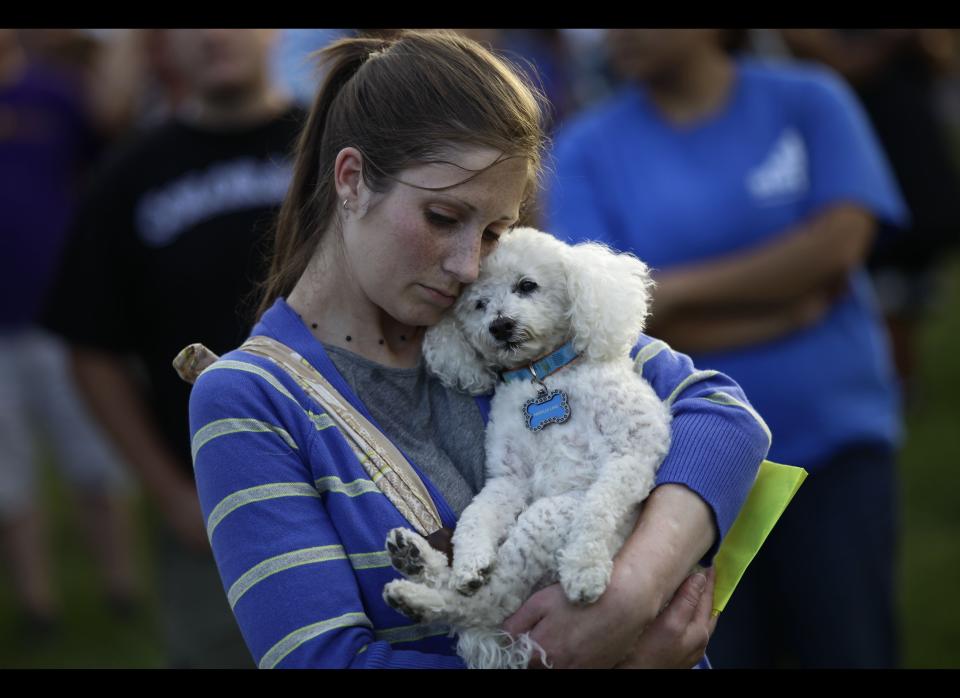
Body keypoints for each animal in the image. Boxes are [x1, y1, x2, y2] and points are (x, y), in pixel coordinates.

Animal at [378, 226, 672, 668]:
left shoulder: (634, 451)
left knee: (491, 603)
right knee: (483, 600)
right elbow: (477, 517)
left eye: (527, 286)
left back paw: (414, 585)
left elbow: (599, 506)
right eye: (479, 304)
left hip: (547, 516)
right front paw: (470, 561)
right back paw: (417, 569)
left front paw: (584, 569)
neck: (542, 377)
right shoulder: (508, 479)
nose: (500, 325)